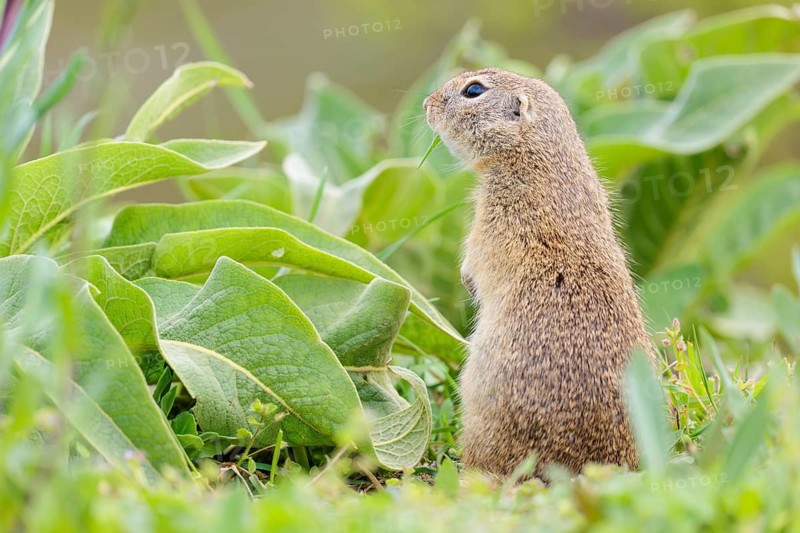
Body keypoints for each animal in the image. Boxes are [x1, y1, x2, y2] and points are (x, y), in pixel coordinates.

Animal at [423, 68, 655, 479]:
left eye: (474, 91)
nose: (426, 104)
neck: (535, 153)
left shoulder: (496, 218)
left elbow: (477, 256)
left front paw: (468, 280)